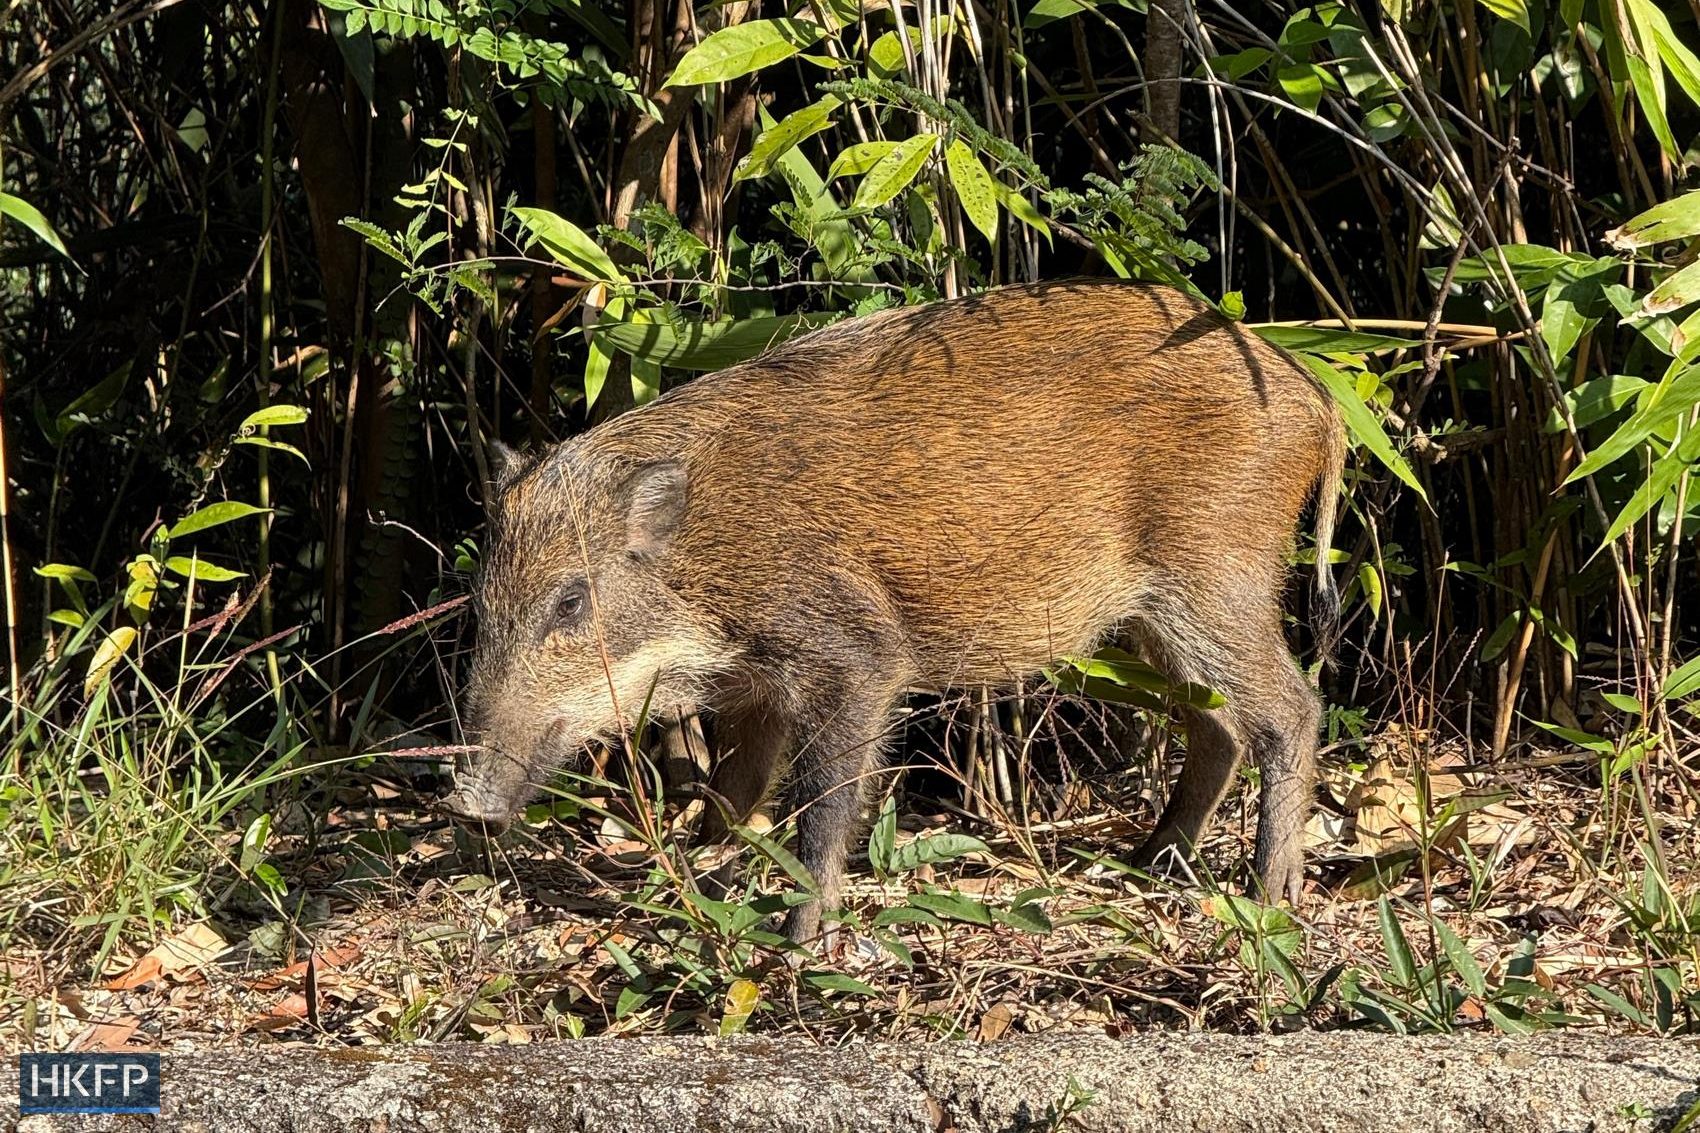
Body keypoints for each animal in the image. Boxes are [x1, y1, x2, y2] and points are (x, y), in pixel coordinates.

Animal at [444, 279, 1344, 946]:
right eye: (485, 602)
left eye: (570, 599)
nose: (464, 802)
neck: (703, 552)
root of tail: (1317, 400)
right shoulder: (755, 686)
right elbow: (735, 787)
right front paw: (697, 880)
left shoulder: (853, 657)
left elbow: (825, 795)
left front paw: (801, 935)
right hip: (1162, 614)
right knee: (1217, 724)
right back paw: (1149, 860)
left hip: (1215, 577)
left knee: (1291, 708)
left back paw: (1268, 895)